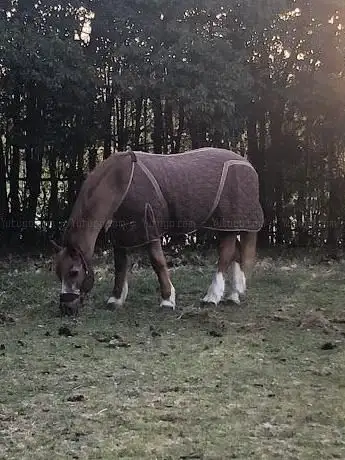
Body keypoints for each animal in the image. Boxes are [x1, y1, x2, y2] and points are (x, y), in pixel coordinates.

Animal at [52, 147, 264, 316]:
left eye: (74, 272)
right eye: (58, 273)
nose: (66, 309)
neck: (120, 183)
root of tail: (248, 164)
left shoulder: (149, 229)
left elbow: (157, 262)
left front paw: (167, 300)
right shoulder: (121, 235)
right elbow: (120, 265)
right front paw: (115, 299)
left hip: (228, 221)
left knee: (226, 254)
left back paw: (212, 297)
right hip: (227, 225)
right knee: (236, 253)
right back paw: (233, 296)